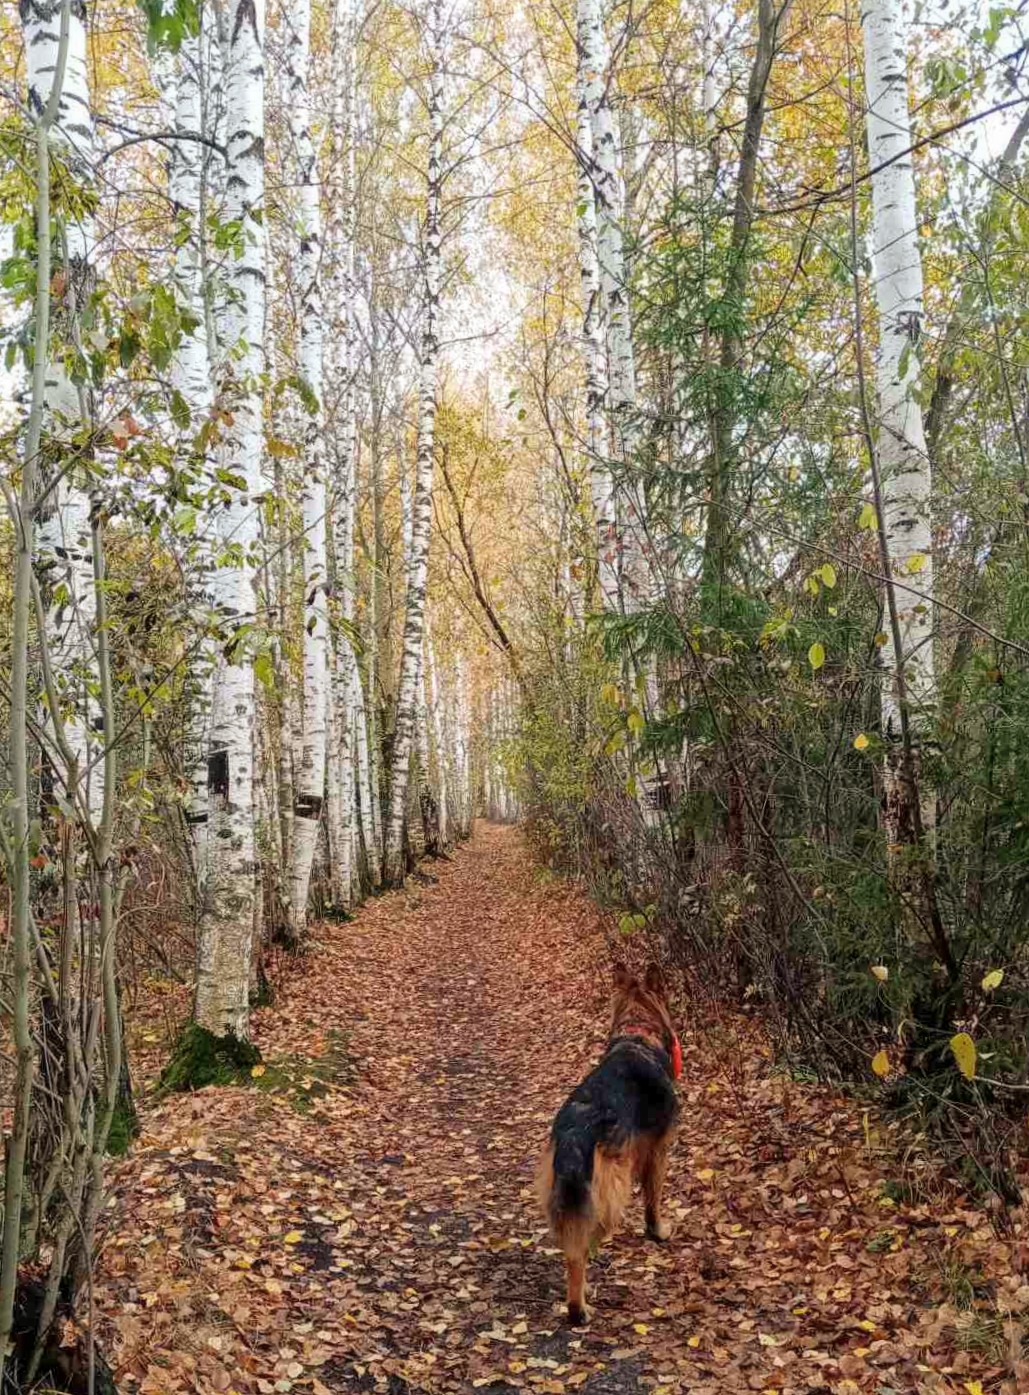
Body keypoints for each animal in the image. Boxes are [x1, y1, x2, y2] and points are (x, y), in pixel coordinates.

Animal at [535, 964, 682, 1324]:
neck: (638, 1034)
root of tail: (576, 1132)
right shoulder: (658, 1152)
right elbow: (653, 1200)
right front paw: (657, 1232)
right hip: (611, 1195)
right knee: (581, 1251)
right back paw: (579, 1307)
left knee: (572, 1249)